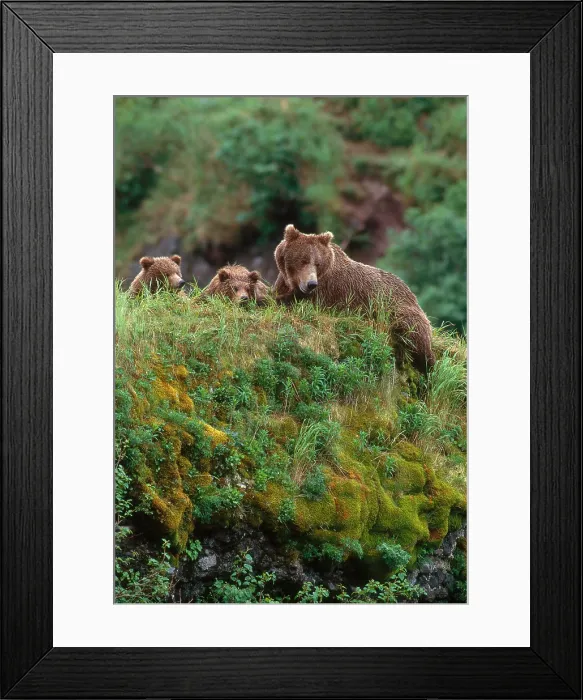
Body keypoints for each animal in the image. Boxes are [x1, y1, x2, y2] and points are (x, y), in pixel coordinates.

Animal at [273, 224, 435, 372]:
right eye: (303, 260)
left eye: (318, 263)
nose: (311, 284)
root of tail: (412, 294)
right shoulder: (284, 281)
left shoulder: (326, 291)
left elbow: (300, 301)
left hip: (399, 309)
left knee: (414, 334)